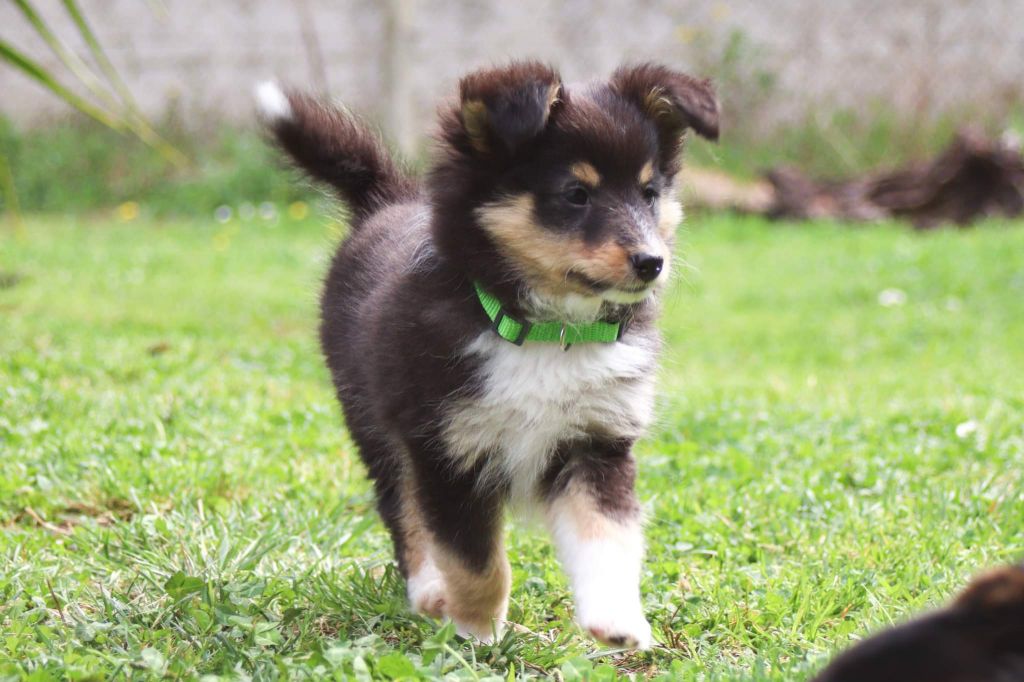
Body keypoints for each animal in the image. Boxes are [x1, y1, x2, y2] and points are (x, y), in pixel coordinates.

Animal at [256, 61, 720, 647]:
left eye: (650, 192)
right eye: (575, 193)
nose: (651, 262)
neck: (548, 334)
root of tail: (388, 200)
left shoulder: (597, 442)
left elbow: (607, 537)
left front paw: (617, 620)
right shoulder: (445, 449)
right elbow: (475, 561)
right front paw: (478, 632)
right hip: (374, 422)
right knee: (402, 508)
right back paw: (430, 590)